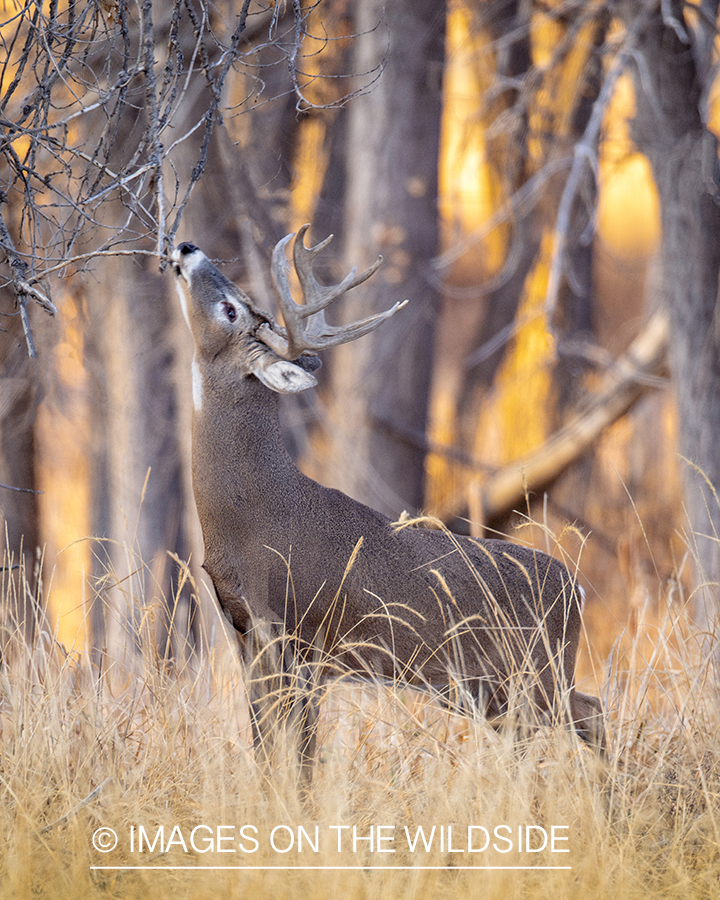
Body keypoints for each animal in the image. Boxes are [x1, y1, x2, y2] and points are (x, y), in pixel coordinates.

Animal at [172, 227, 604, 780]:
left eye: (230, 311)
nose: (185, 248)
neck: (247, 513)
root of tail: (577, 589)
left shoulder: (301, 637)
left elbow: (301, 751)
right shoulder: (244, 633)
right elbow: (265, 744)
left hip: (538, 669)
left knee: (591, 711)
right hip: (487, 688)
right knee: (563, 722)